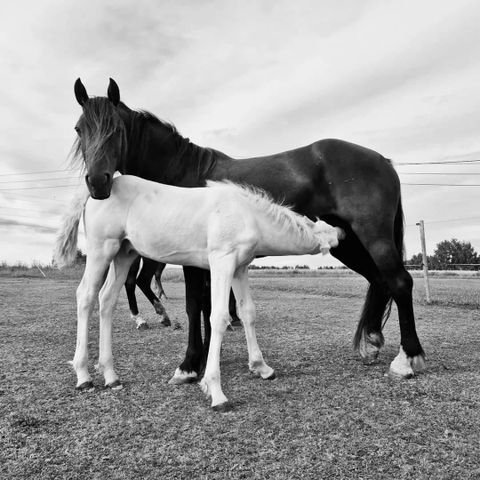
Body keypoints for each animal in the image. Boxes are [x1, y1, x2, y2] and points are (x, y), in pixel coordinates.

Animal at [55, 175, 342, 408]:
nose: (342, 232)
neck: (247, 214)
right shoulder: (222, 262)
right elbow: (219, 317)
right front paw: (215, 391)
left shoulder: (239, 268)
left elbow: (247, 312)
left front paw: (261, 368)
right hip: (101, 250)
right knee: (86, 296)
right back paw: (83, 376)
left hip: (124, 254)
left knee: (107, 300)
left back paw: (111, 375)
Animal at [70, 78, 424, 382]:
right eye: (79, 128)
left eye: (116, 129)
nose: (98, 182)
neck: (183, 172)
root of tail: (382, 160)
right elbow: (208, 305)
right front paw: (206, 358)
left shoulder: (195, 260)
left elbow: (196, 305)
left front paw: (188, 365)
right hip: (347, 242)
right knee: (379, 280)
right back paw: (372, 343)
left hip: (373, 235)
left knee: (398, 281)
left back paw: (408, 359)